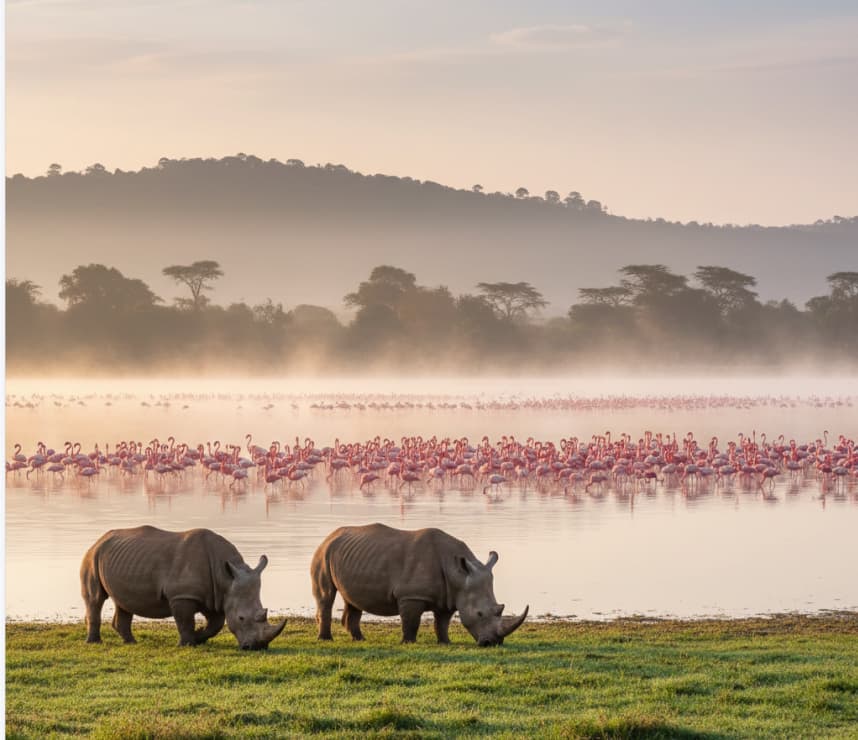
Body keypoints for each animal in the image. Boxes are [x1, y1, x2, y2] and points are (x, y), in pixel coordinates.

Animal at [80, 525, 286, 649]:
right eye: (241, 618)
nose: (257, 647)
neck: (225, 577)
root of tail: (99, 539)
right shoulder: (182, 595)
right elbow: (185, 621)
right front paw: (187, 644)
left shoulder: (214, 596)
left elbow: (216, 624)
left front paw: (199, 637)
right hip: (92, 556)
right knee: (95, 599)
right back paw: (94, 643)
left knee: (123, 601)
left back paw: (131, 642)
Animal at [311, 523, 528, 646]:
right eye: (480, 614)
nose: (493, 643)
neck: (458, 574)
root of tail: (330, 535)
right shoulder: (411, 595)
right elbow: (411, 621)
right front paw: (408, 643)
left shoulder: (449, 596)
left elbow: (442, 622)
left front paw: (445, 643)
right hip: (323, 553)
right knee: (326, 596)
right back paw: (326, 640)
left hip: (350, 555)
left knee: (353, 599)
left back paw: (359, 639)